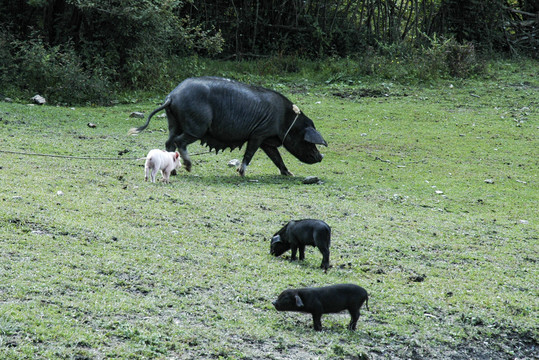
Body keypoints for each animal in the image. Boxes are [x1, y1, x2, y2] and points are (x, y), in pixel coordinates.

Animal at [129, 77, 326, 176]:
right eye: (308, 141)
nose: (321, 156)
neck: (285, 120)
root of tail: (172, 96)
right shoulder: (259, 134)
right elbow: (249, 153)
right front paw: (241, 173)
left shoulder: (266, 139)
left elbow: (276, 158)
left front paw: (289, 174)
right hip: (196, 126)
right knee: (179, 141)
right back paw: (189, 167)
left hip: (173, 122)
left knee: (169, 142)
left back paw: (175, 172)